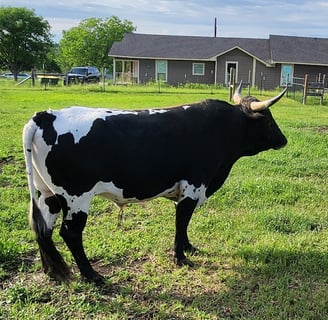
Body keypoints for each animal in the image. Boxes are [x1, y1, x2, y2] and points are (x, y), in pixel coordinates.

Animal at [22, 83, 288, 282]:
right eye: (267, 119)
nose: (284, 140)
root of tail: (47, 115)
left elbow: (184, 223)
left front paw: (188, 247)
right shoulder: (193, 187)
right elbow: (182, 221)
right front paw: (180, 257)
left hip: (47, 195)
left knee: (42, 229)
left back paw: (51, 271)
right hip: (76, 198)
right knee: (71, 234)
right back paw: (92, 275)